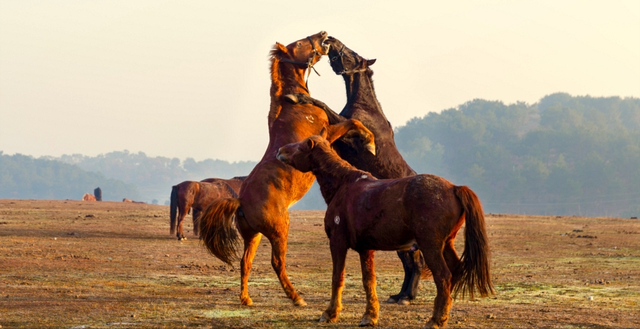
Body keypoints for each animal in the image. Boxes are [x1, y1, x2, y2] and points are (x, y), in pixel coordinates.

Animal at [196, 32, 376, 306]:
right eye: (300, 43)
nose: (323, 35)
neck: (295, 105)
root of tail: (240, 201)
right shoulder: (326, 133)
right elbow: (352, 122)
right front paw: (370, 142)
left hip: (254, 236)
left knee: (245, 263)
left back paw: (246, 299)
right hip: (280, 230)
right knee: (277, 263)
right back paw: (297, 297)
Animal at [276, 133, 496, 328]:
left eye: (301, 146)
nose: (280, 150)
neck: (344, 185)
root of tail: (454, 188)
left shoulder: (337, 243)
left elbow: (337, 278)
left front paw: (330, 314)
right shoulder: (365, 249)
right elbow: (368, 281)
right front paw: (370, 316)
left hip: (430, 247)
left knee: (443, 276)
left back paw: (435, 320)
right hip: (445, 245)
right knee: (454, 272)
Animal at [288, 36, 428, 304]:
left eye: (351, 53)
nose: (330, 40)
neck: (366, 108)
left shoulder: (349, 135)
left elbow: (325, 106)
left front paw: (296, 97)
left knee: (414, 263)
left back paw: (407, 297)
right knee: (409, 264)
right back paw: (400, 295)